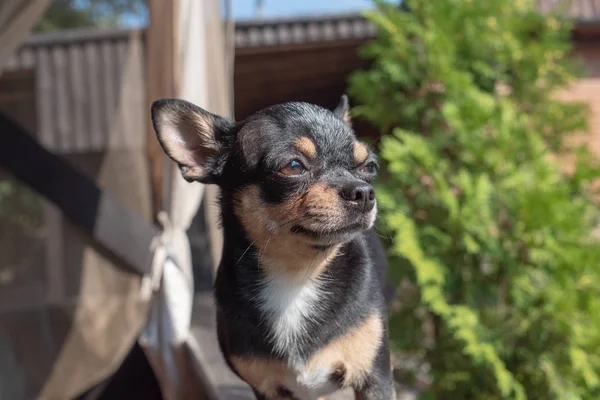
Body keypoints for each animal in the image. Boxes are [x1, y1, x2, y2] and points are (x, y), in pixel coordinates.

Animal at [150, 95, 394, 398]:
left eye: (369, 167)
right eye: (293, 166)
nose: (364, 191)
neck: (297, 276)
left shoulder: (375, 380)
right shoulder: (268, 388)